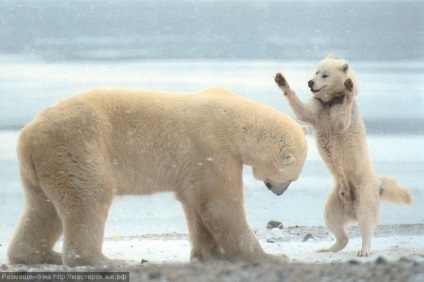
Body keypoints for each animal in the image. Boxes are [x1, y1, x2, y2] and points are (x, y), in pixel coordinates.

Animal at [9, 87, 308, 266]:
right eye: (292, 176)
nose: (279, 191)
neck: (233, 118)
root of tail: (28, 134)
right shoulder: (211, 148)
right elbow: (220, 205)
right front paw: (271, 256)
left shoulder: (197, 165)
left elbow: (196, 205)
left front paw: (209, 255)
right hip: (76, 149)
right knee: (88, 198)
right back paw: (100, 259)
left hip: (43, 164)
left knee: (42, 208)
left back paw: (37, 254)